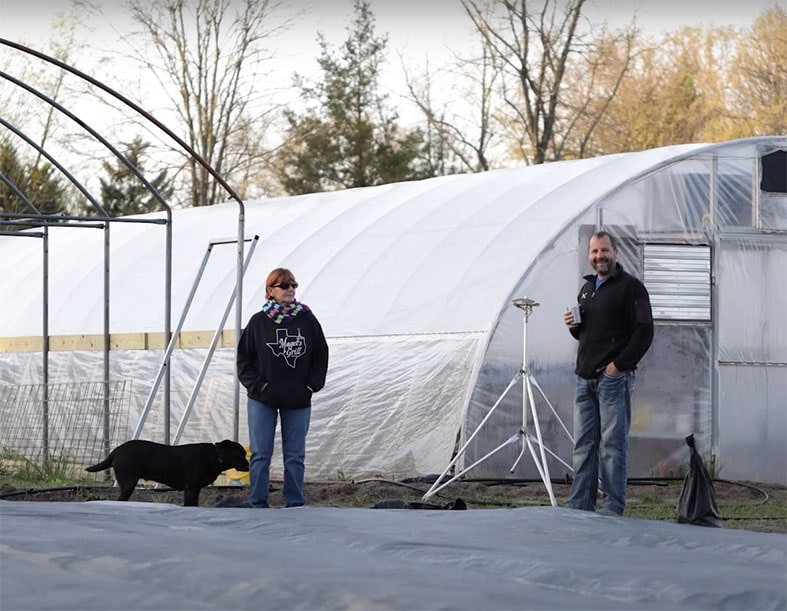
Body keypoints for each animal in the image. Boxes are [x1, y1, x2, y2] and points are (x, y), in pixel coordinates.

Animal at [86, 440, 248, 506]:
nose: (248, 465)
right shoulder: (191, 488)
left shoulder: (194, 489)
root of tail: (116, 451)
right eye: (239, 453)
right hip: (128, 483)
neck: (216, 456)